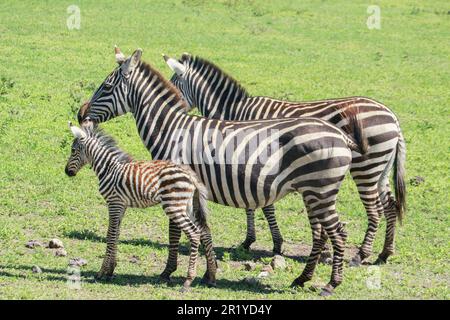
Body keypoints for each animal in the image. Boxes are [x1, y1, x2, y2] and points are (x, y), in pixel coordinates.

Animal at [64, 122, 217, 290]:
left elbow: (110, 234)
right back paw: (209, 276)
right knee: (203, 231)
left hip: (174, 207)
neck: (109, 168)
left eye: (73, 150)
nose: (67, 172)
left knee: (194, 233)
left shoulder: (114, 202)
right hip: (187, 206)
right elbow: (116, 234)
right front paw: (110, 270)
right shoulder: (121, 205)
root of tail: (190, 174)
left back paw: (188, 280)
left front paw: (102, 272)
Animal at [164, 53, 408, 264]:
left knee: (375, 210)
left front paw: (268, 242)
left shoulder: (255, 161)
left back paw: (361, 254)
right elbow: (252, 204)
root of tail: (393, 118)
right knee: (390, 205)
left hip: (366, 167)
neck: (236, 113)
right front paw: (253, 240)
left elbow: (261, 206)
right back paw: (385, 253)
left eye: (173, 85)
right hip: (381, 168)